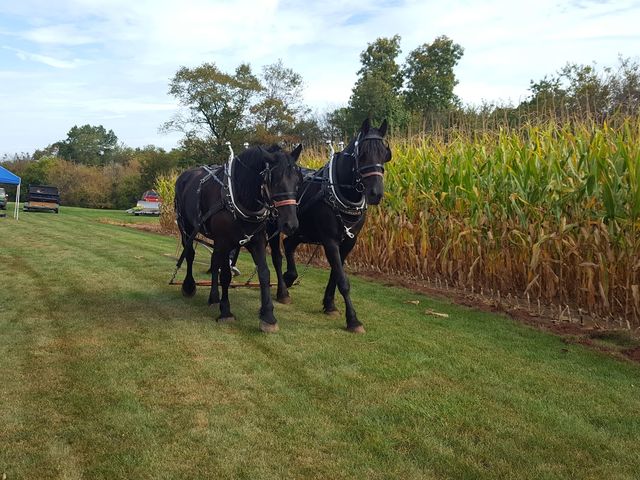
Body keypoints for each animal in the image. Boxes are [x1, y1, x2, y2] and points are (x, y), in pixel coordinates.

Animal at [175, 144, 303, 333]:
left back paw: (214, 298)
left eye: (298, 181)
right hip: (186, 228)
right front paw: (226, 312)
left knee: (214, 261)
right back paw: (189, 286)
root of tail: (184, 175)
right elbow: (226, 275)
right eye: (275, 181)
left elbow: (264, 273)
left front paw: (268, 316)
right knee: (190, 254)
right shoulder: (224, 241)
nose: (291, 225)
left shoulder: (256, 240)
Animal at [268, 118, 391, 333]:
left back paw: (290, 277)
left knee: (289, 244)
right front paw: (353, 320)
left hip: (301, 230)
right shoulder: (330, 240)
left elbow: (336, 273)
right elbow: (343, 279)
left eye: (385, 155)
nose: (376, 193)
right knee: (277, 256)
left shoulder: (349, 242)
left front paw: (330, 304)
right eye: (363, 153)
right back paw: (283, 291)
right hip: (275, 226)